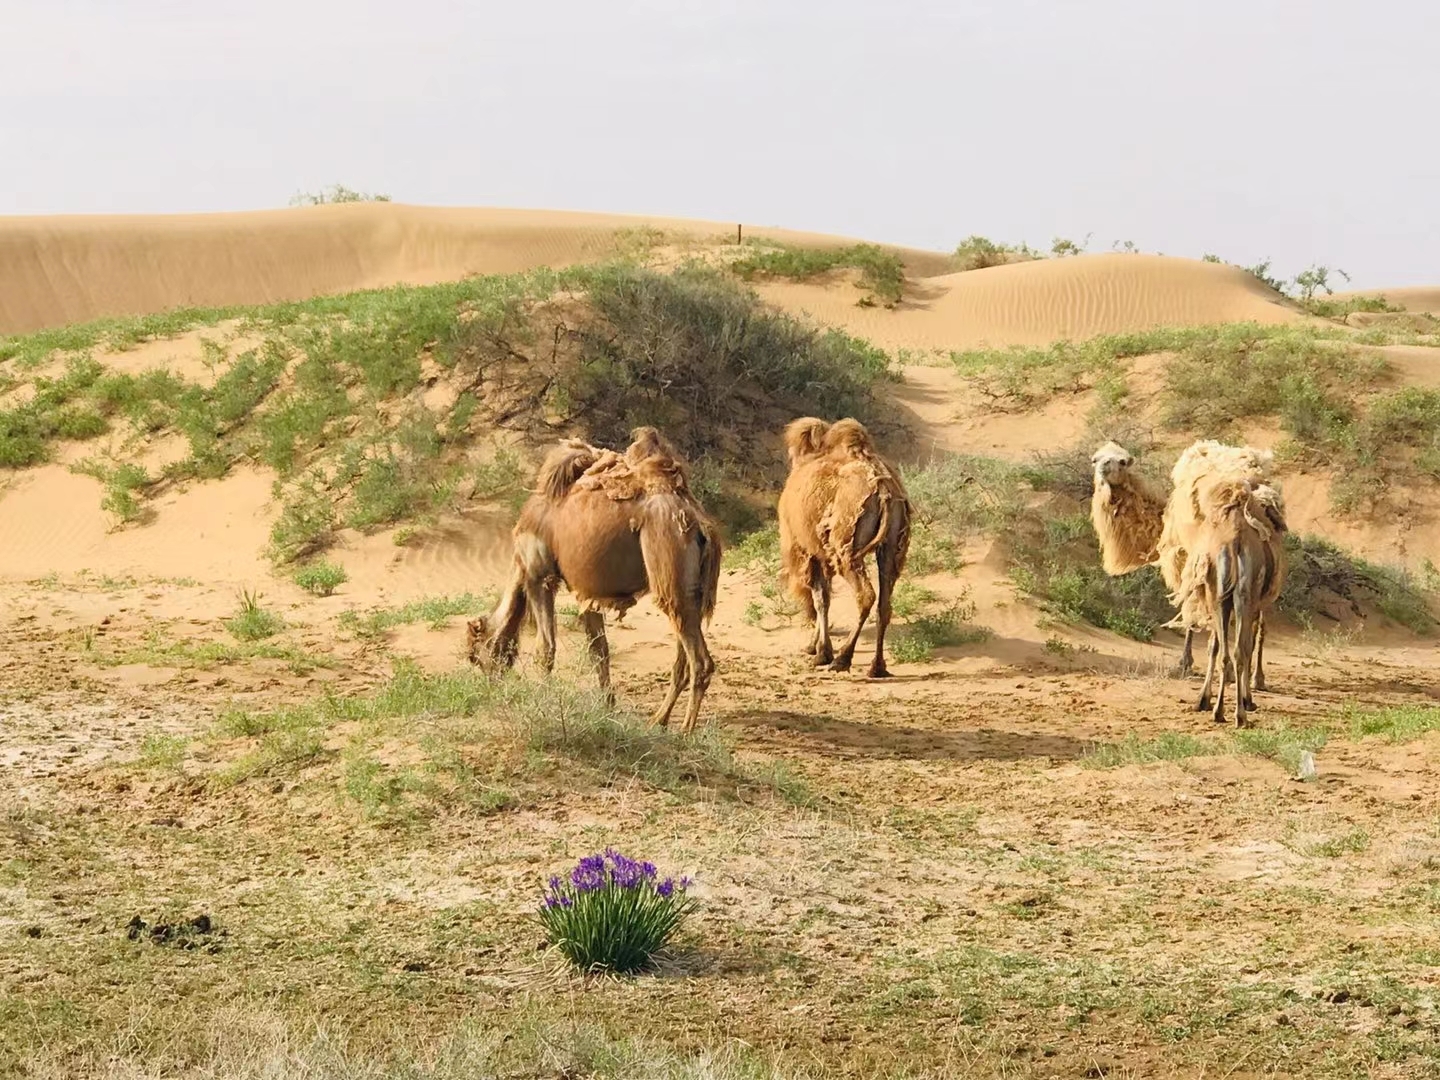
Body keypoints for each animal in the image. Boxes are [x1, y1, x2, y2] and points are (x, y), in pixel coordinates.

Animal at [469, 426, 720, 731]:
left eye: (474, 655)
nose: (490, 685)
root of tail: (700, 522)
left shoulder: (539, 575)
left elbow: (546, 649)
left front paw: (542, 703)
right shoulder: (587, 592)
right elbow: (599, 651)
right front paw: (606, 707)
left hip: (668, 564)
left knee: (700, 662)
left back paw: (684, 731)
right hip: (688, 586)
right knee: (682, 653)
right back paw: (658, 720)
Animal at [777, 417, 910, 679]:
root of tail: (883, 491)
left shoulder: (806, 551)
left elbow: (820, 598)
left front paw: (820, 652)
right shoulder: (821, 553)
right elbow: (825, 596)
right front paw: (817, 647)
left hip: (846, 547)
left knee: (865, 595)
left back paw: (842, 659)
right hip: (890, 547)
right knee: (884, 603)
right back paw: (877, 667)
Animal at [1088, 440, 1284, 685]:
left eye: (1122, 461)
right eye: (1095, 459)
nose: (1104, 467)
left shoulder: (1187, 565)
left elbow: (1192, 614)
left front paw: (1186, 663)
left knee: (1252, 622)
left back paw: (1251, 677)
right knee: (1252, 620)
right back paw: (1250, 676)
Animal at [1175, 480, 1290, 728]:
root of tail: (1235, 541)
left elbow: (1214, 645)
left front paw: (1204, 699)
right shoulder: (1254, 604)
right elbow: (1251, 643)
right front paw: (1249, 697)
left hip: (1219, 596)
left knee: (1225, 654)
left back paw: (1217, 710)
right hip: (1244, 598)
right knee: (1241, 649)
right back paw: (1241, 713)